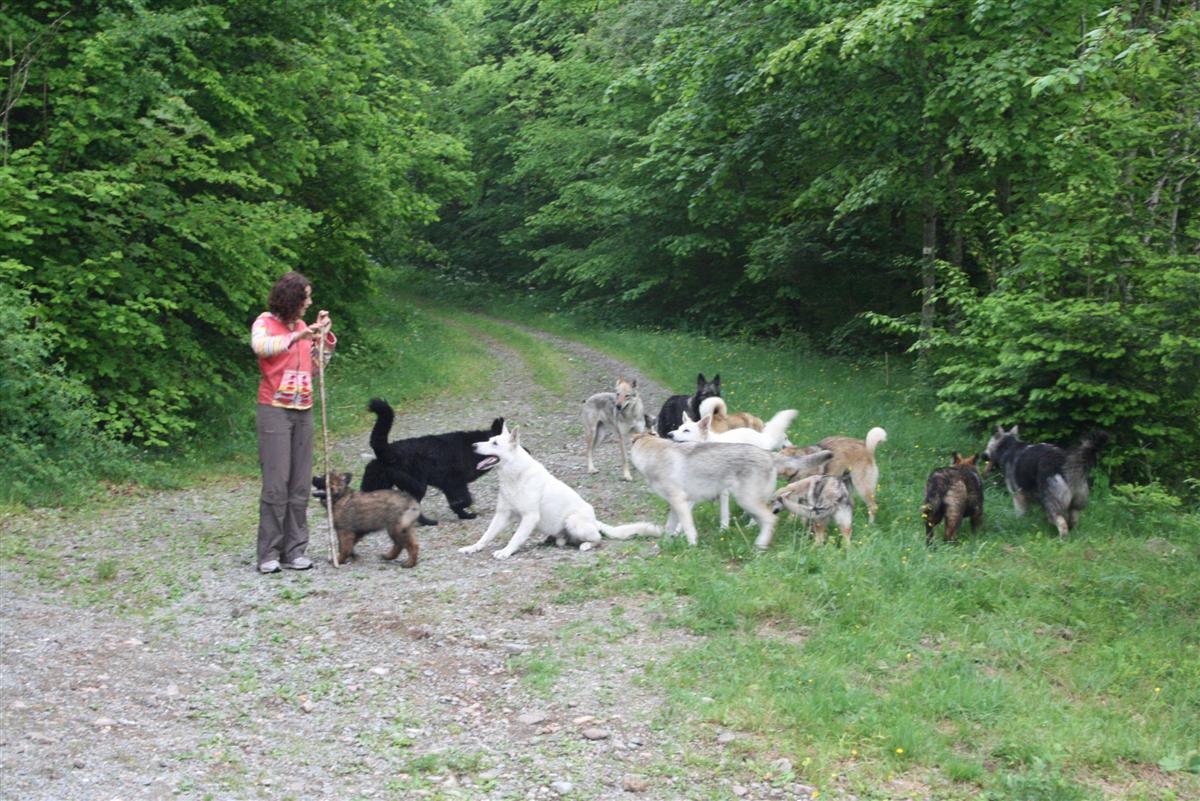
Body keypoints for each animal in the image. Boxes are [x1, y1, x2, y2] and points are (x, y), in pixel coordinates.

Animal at [360, 398, 501, 525]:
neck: (472, 448)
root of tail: (389, 452)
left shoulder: (450, 486)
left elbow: (459, 502)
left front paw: (463, 514)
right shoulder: (455, 483)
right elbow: (466, 500)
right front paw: (461, 509)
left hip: (378, 484)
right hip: (418, 486)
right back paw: (428, 522)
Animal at [460, 422, 667, 561]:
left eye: (495, 443)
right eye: (488, 440)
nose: (473, 446)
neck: (514, 475)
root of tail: (594, 520)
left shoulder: (529, 517)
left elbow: (515, 538)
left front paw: (505, 552)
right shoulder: (502, 515)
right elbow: (486, 535)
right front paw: (472, 547)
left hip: (573, 521)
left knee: (598, 538)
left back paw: (586, 544)